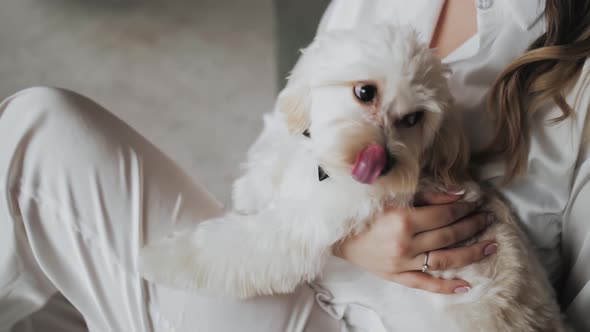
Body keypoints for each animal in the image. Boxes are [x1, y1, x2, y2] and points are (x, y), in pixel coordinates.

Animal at [140, 25, 568, 330]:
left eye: (414, 119)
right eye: (364, 92)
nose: (385, 161)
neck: (329, 175)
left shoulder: (297, 229)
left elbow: (231, 247)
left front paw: (162, 260)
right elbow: (283, 156)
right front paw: (254, 183)